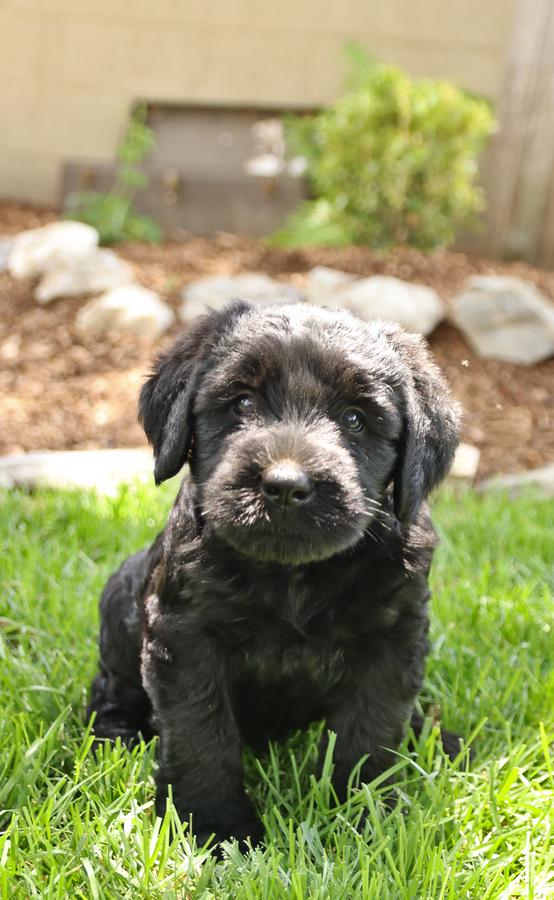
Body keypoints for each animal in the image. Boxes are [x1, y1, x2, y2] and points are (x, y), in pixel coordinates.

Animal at [86, 302, 458, 852]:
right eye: (242, 402)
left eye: (355, 419)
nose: (285, 485)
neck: (293, 577)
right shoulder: (186, 639)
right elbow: (202, 735)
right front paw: (216, 829)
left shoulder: (394, 639)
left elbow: (369, 731)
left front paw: (362, 821)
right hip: (120, 607)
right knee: (109, 689)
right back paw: (114, 740)